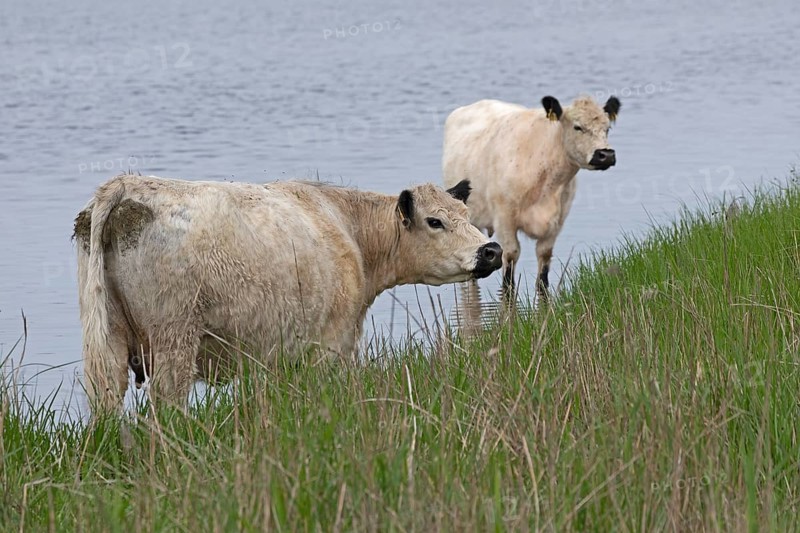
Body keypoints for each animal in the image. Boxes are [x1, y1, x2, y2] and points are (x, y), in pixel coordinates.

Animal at [74, 174, 502, 412]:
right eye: (435, 222)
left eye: (467, 216)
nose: (491, 250)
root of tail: (126, 185)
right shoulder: (332, 343)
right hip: (174, 336)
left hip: (106, 339)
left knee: (105, 398)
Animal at [442, 94, 621, 303]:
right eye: (578, 127)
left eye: (607, 128)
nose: (605, 155)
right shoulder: (505, 217)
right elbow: (510, 255)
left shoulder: (557, 221)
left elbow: (544, 259)